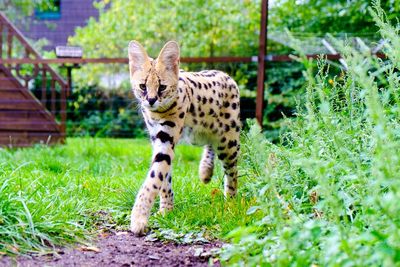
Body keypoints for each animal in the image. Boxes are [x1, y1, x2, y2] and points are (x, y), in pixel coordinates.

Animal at [128, 40, 241, 236]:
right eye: (143, 86)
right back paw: (205, 171)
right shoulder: (158, 139)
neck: (156, 113)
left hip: (228, 141)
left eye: (162, 87)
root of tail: (227, 75)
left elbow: (153, 178)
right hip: (200, 135)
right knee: (209, 144)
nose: (151, 100)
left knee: (232, 171)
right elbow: (164, 178)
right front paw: (166, 210)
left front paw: (139, 218)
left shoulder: (166, 139)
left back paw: (231, 202)